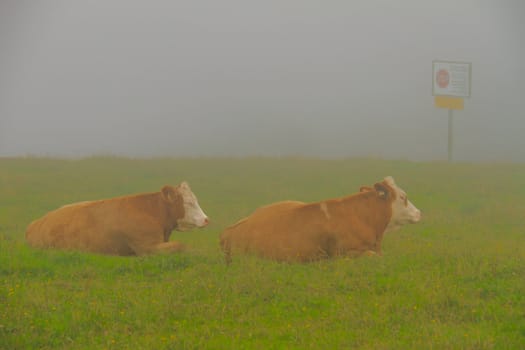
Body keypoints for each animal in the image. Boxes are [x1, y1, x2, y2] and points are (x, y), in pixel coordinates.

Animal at [25, 182, 209, 256]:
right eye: (189, 202)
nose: (206, 219)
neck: (153, 212)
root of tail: (35, 224)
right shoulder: (146, 247)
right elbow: (180, 246)